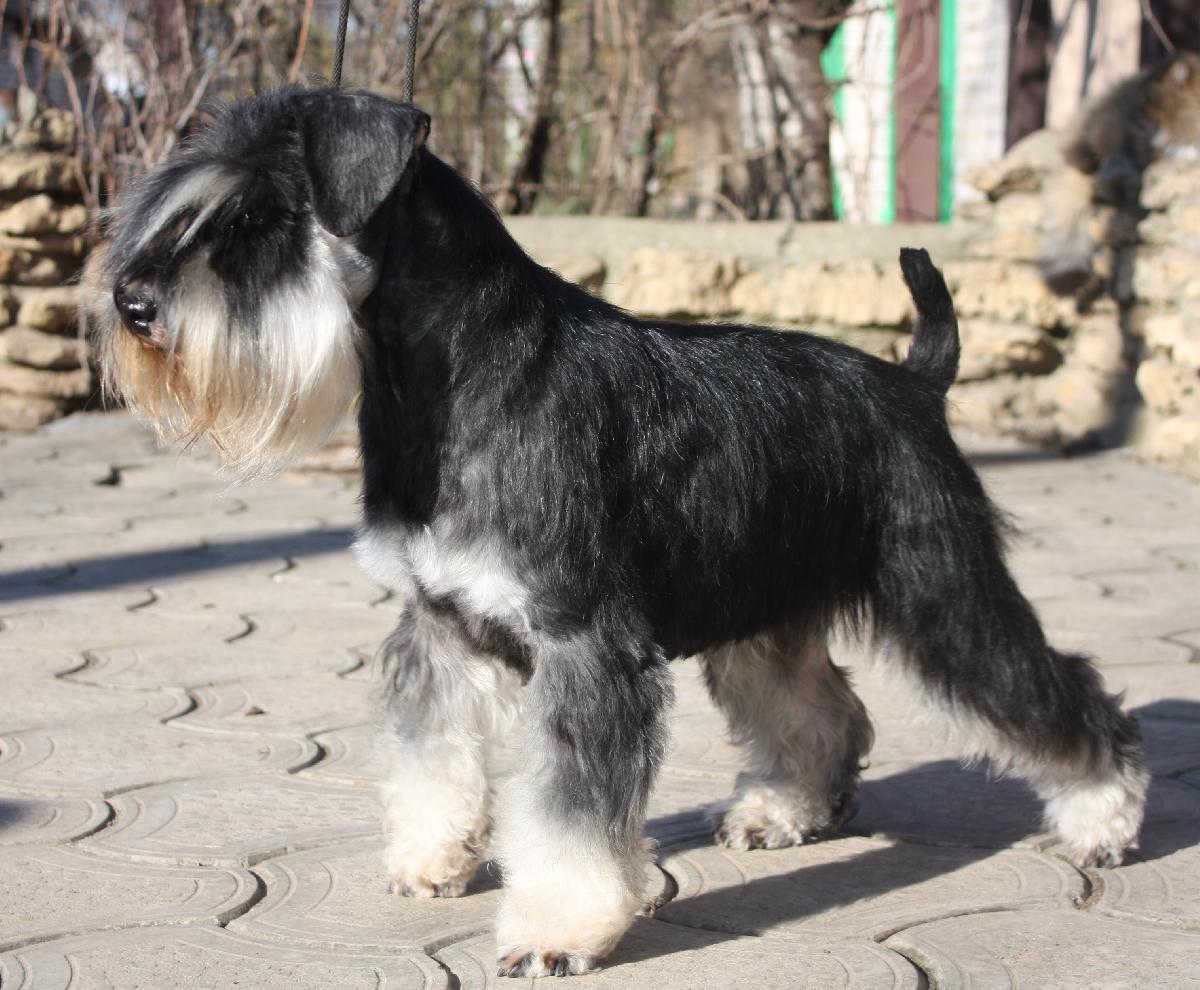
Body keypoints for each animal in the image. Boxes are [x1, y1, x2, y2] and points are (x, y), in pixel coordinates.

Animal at [87, 86, 1148, 978]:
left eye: (262, 217)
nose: (133, 304)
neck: (443, 382)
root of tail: (913, 384)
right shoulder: (439, 628)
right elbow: (434, 762)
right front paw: (431, 861)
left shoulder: (584, 647)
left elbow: (568, 817)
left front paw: (555, 931)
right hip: (760, 620)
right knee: (823, 713)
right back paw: (785, 812)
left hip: (944, 596)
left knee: (1063, 694)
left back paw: (1105, 816)